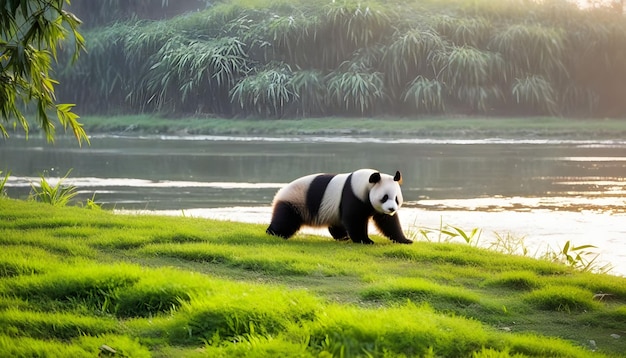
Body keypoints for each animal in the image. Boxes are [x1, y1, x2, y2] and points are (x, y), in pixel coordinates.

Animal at [264, 169, 410, 245]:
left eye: (396, 199)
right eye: (384, 197)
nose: (391, 209)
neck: (364, 183)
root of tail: (279, 193)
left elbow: (388, 223)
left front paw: (405, 240)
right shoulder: (352, 196)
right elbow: (354, 219)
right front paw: (365, 240)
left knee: (336, 225)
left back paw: (342, 237)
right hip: (294, 202)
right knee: (285, 221)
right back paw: (273, 233)